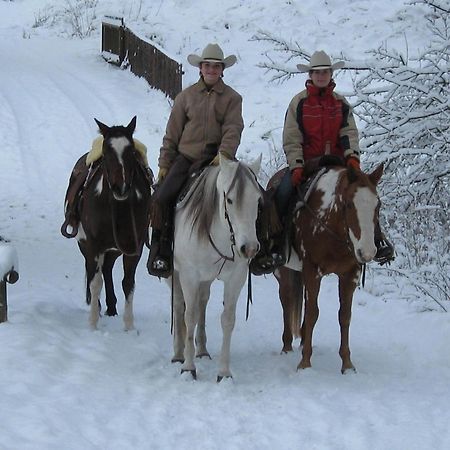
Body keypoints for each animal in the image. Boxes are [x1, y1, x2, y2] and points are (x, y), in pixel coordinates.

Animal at [62, 118, 153, 330]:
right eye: (107, 152)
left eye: (131, 151)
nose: (121, 188)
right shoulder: (93, 245)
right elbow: (95, 283)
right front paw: (93, 324)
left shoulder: (134, 247)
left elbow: (128, 283)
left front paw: (129, 326)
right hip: (86, 246)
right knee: (95, 273)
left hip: (113, 249)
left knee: (107, 270)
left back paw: (111, 308)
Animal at [172, 155, 264, 380]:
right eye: (229, 200)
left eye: (257, 200)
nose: (249, 248)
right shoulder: (189, 276)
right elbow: (189, 316)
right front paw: (188, 367)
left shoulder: (236, 279)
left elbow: (227, 320)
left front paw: (224, 372)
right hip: (175, 274)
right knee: (179, 306)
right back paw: (178, 354)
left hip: (206, 280)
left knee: (202, 303)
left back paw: (202, 351)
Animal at [274, 163, 384, 374]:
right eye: (349, 204)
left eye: (378, 205)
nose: (367, 252)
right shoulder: (312, 270)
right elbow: (312, 313)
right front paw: (305, 363)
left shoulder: (350, 274)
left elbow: (345, 315)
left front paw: (347, 365)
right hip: (284, 270)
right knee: (286, 299)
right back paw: (286, 345)